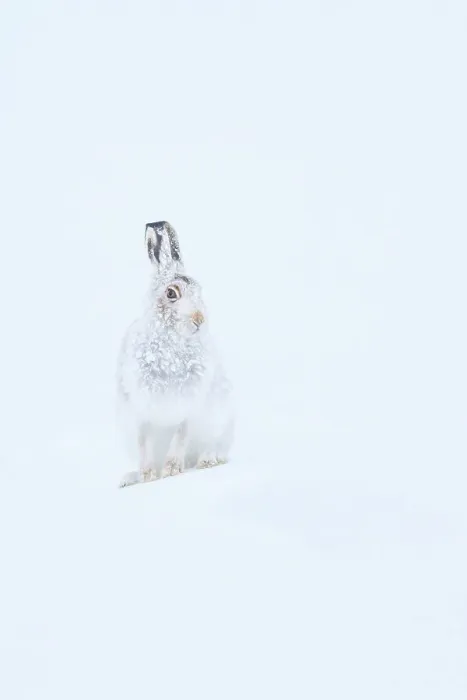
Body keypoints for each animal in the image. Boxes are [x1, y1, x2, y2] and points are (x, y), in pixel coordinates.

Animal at [116, 221, 234, 488]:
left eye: (199, 291)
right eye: (171, 293)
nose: (200, 319)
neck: (171, 345)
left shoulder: (189, 406)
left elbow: (181, 434)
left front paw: (170, 470)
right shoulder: (140, 410)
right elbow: (143, 440)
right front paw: (148, 475)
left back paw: (208, 460)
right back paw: (128, 478)